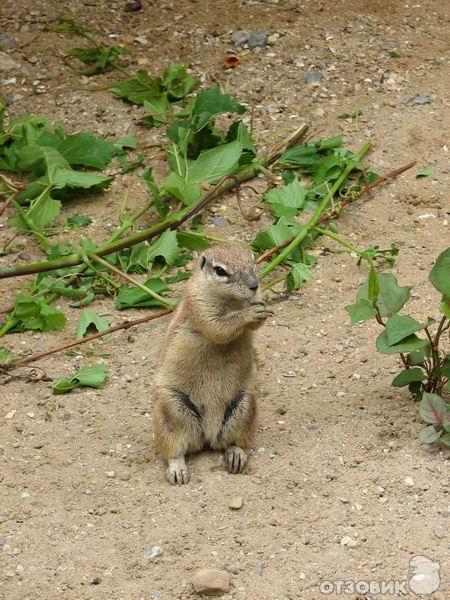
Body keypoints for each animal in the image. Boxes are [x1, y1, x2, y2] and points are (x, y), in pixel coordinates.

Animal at [154, 243, 270, 482]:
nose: (254, 285)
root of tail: (208, 434)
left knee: (234, 442)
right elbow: (218, 328)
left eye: (253, 262)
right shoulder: (199, 306)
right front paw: (249, 313)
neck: (231, 301)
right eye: (220, 271)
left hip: (244, 405)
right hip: (171, 409)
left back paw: (236, 455)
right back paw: (177, 469)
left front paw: (262, 308)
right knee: (174, 448)